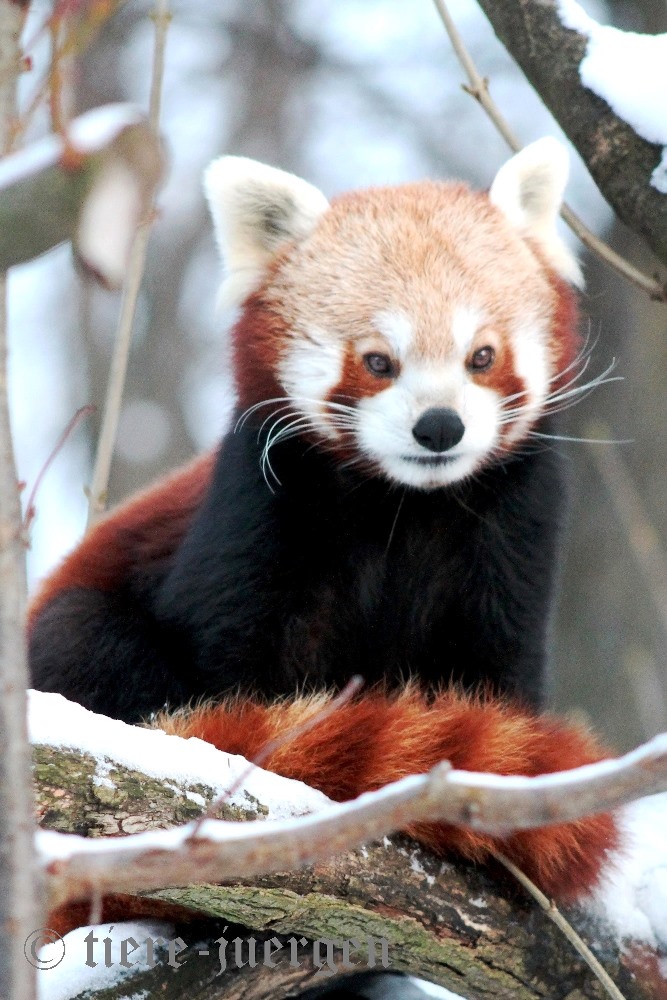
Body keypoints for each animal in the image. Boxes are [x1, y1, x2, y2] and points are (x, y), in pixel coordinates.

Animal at [26, 141, 620, 900]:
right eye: (378, 361)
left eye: (481, 356)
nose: (440, 427)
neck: (402, 505)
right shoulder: (258, 511)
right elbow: (230, 665)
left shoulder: (515, 529)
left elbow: (499, 671)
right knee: (86, 634)